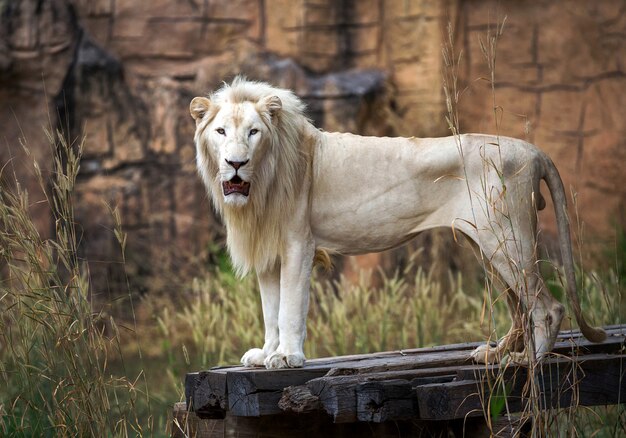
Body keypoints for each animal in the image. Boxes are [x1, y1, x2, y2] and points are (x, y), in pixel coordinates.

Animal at [188, 77, 604, 368]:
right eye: (221, 132)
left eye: (253, 132)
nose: (236, 163)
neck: (261, 184)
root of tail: (534, 151)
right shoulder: (268, 250)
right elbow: (270, 309)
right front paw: (267, 353)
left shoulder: (296, 245)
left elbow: (290, 307)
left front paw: (288, 356)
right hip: (488, 245)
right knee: (519, 309)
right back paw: (496, 354)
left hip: (507, 237)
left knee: (546, 307)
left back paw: (530, 361)